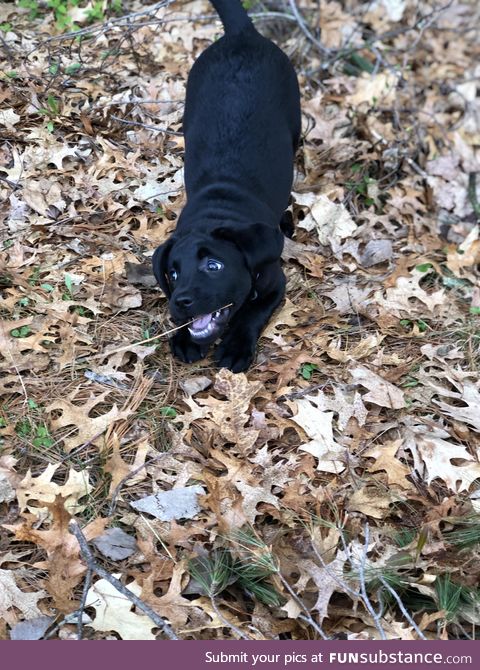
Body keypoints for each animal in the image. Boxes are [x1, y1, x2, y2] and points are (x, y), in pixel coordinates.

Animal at [152, 0, 300, 372]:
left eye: (214, 266)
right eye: (173, 273)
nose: (181, 301)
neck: (217, 212)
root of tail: (241, 34)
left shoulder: (275, 283)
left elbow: (252, 313)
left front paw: (235, 347)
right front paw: (185, 337)